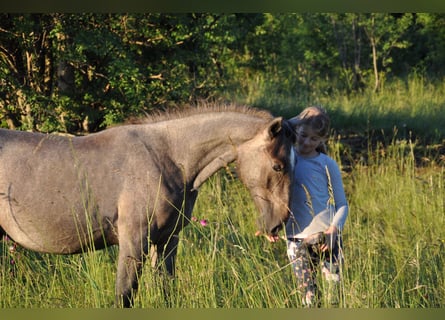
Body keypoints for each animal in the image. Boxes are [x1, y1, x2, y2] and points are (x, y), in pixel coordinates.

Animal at [0, 104, 298, 306]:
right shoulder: (134, 241)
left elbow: (167, 290)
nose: (278, 223)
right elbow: (125, 295)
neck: (166, 157)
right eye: (278, 165)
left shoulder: (167, 240)